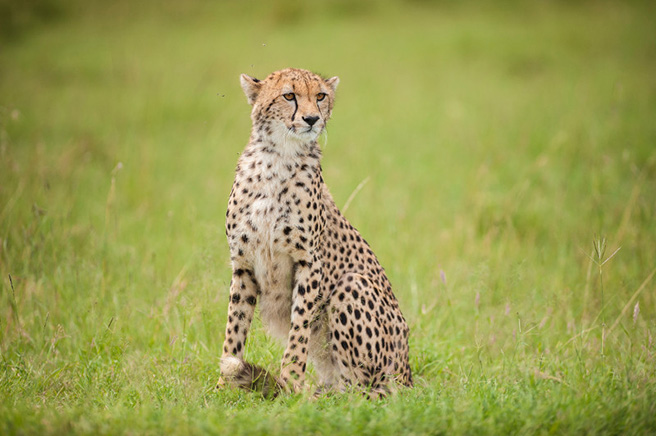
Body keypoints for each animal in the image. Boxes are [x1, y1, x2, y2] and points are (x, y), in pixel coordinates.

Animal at [218, 69, 412, 398]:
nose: (311, 119)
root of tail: (408, 377)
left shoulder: (309, 263)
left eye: (320, 96)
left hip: (353, 286)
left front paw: (290, 384)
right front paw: (220, 388)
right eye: (288, 95)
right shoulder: (242, 265)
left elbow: (299, 330)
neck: (278, 159)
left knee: (363, 389)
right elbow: (234, 330)